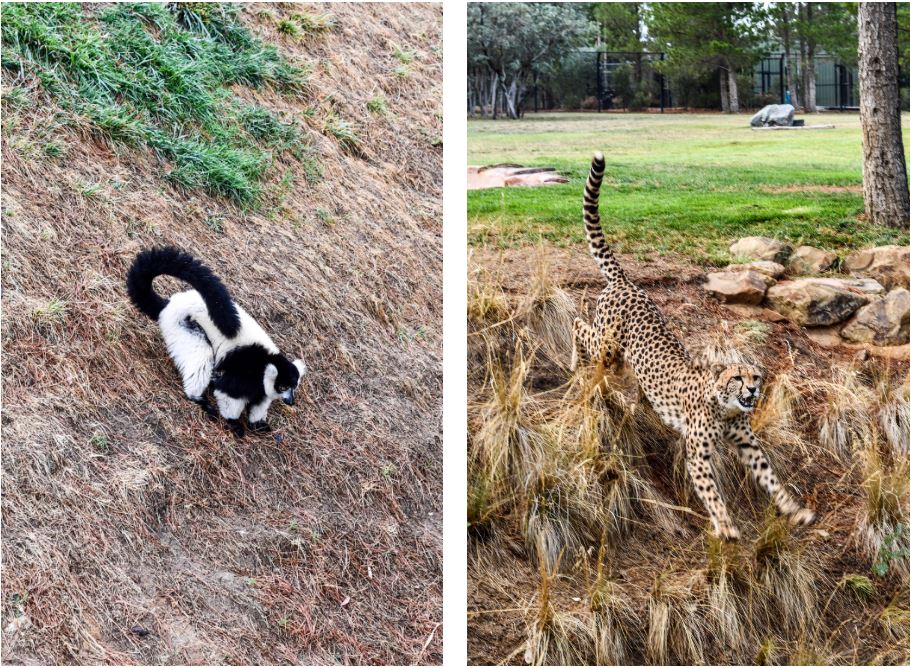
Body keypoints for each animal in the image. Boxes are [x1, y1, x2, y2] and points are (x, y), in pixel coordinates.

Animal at [572, 151, 816, 536]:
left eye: (756, 378)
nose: (752, 391)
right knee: (578, 325)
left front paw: (795, 510)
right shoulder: (698, 454)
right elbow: (712, 492)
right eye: (737, 378)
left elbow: (771, 479)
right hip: (607, 346)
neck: (725, 406)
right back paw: (575, 361)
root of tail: (626, 282)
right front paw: (726, 526)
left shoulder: (748, 443)